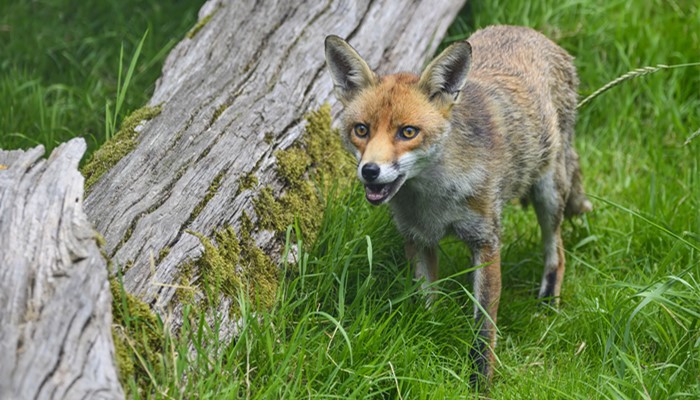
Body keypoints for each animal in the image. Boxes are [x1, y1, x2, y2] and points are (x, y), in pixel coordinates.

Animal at [322, 25, 592, 384]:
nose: (369, 171)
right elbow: (426, 302)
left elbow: (483, 330)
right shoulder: (418, 237)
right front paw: (430, 335)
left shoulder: (486, 241)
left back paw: (548, 302)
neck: (434, 199)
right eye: (361, 130)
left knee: (556, 251)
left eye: (408, 132)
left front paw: (480, 383)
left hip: (548, 194)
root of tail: (530, 32)